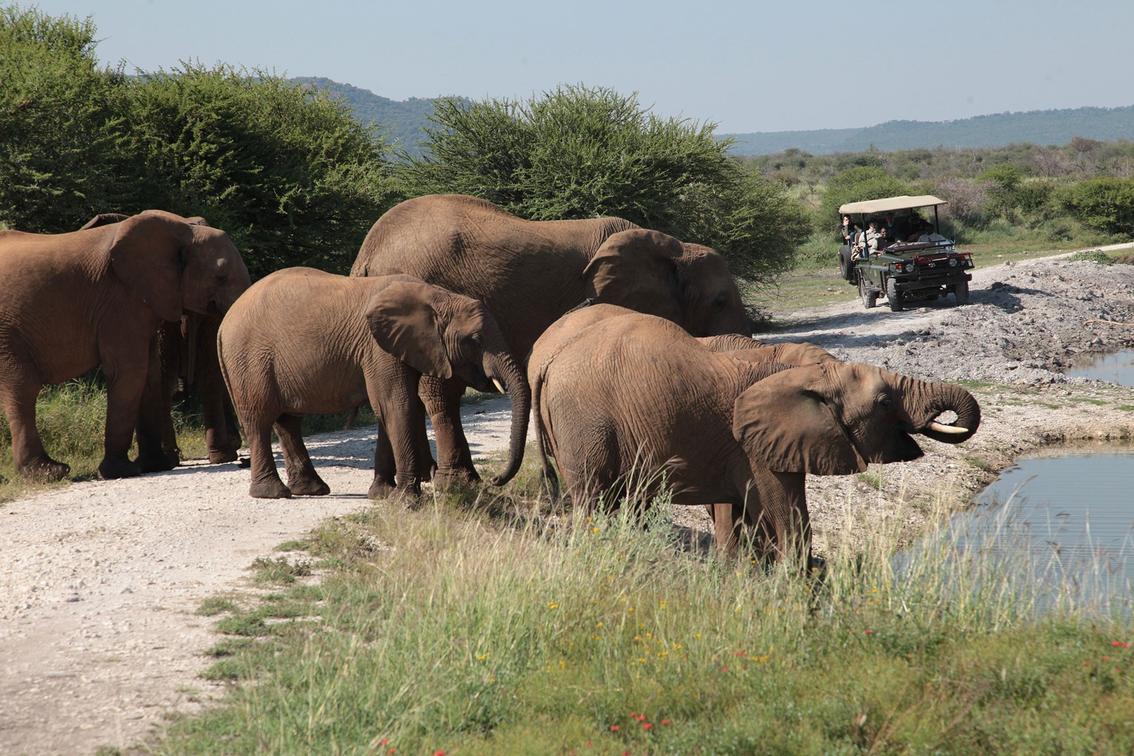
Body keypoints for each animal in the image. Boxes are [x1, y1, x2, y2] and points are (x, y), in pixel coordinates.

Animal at [215, 268, 526, 498]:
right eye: (474, 340)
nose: (495, 480)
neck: (438, 296)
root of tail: (223, 323)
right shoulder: (378, 348)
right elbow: (397, 405)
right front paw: (406, 500)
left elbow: (388, 409)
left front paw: (383, 495)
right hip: (249, 360)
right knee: (259, 420)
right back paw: (272, 493)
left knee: (288, 422)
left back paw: (312, 489)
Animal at [526, 306, 979, 562]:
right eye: (885, 402)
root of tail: (550, 361)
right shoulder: (755, 444)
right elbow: (785, 513)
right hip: (584, 424)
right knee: (594, 497)